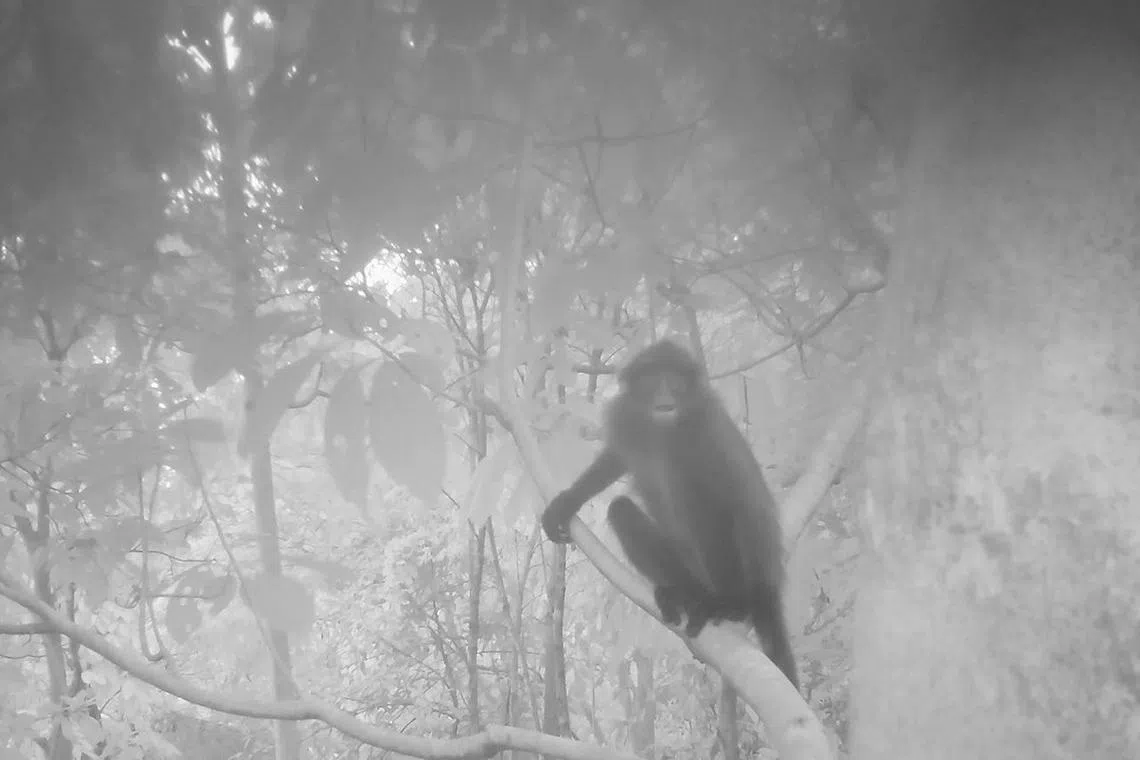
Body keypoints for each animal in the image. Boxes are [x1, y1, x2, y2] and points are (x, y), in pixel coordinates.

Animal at [541, 339, 798, 689]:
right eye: (653, 380)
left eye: (674, 381)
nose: (665, 398)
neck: (663, 430)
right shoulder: (627, 417)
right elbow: (616, 458)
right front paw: (567, 501)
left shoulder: (708, 429)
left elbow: (735, 503)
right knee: (621, 510)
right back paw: (682, 594)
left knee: (711, 510)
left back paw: (727, 604)